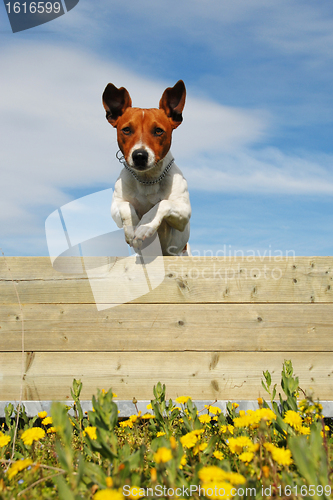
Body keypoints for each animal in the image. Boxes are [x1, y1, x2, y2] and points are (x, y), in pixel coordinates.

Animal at [101, 81, 191, 258]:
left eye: (158, 131)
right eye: (126, 130)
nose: (140, 156)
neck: (147, 179)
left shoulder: (184, 212)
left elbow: (163, 203)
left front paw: (144, 226)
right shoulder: (116, 206)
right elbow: (126, 207)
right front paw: (132, 230)